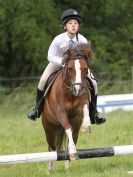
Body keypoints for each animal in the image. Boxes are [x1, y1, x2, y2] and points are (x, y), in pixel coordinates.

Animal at [41, 42, 92, 170]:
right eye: (69, 68)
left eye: (85, 69)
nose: (78, 89)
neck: (70, 93)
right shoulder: (60, 112)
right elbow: (67, 127)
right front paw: (73, 151)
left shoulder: (82, 105)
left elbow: (85, 109)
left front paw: (87, 126)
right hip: (49, 128)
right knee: (52, 147)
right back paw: (50, 169)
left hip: (75, 128)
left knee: (72, 138)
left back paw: (67, 168)